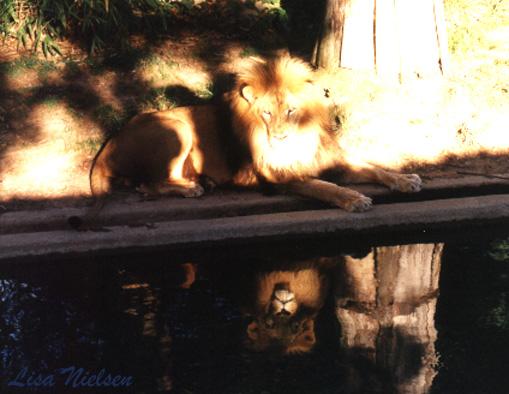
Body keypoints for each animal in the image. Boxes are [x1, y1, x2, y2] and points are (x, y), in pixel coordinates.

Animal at [70, 54, 420, 229]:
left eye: (291, 111)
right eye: (266, 113)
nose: (279, 136)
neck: (299, 138)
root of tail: (113, 140)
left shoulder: (330, 159)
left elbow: (374, 168)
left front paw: (405, 179)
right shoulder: (281, 176)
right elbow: (325, 187)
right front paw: (354, 199)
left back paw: (203, 182)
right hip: (178, 127)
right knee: (148, 184)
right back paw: (193, 188)